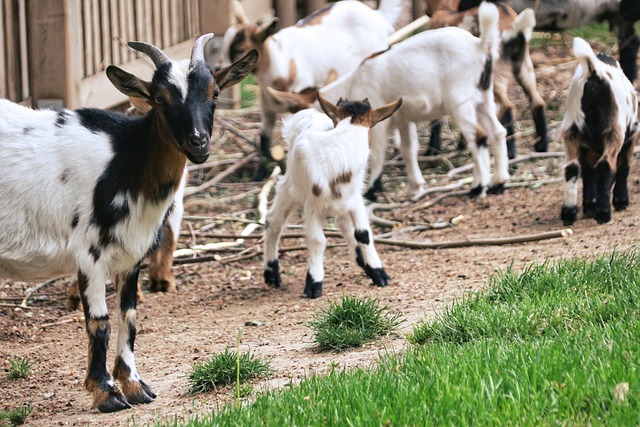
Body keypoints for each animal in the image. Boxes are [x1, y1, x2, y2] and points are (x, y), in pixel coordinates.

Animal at [0, 36, 258, 412]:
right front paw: (106, 393)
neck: (122, 160)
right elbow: (100, 323)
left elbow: (130, 318)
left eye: (215, 93)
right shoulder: (89, 252)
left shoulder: (131, 254)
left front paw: (135, 386)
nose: (198, 142)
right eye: (160, 98)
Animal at [218, 0, 402, 181]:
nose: (219, 68)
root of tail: (378, 15)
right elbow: (264, 139)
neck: (282, 63)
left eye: (241, 48)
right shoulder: (268, 107)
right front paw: (259, 175)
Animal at [262, 95, 402, 300]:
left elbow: (363, 234)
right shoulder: (313, 204)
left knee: (344, 224)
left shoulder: (354, 199)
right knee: (273, 220)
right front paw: (314, 284)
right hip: (292, 186)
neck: (340, 146)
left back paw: (364, 262)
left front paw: (379, 273)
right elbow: (317, 240)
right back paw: (271, 273)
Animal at [268, 1, 508, 200]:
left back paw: (478, 188)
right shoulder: (404, 119)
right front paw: (415, 188)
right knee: (497, 132)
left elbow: (376, 152)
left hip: (460, 102)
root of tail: (480, 45)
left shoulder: (376, 120)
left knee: (479, 137)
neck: (354, 82)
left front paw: (372, 191)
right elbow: (408, 148)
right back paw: (498, 184)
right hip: (483, 97)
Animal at [556, 38, 636, 226]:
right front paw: (621, 202)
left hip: (571, 128)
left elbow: (588, 171)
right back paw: (604, 213)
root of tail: (593, 72)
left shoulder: (585, 146)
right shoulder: (631, 136)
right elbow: (624, 165)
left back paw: (568, 213)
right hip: (614, 130)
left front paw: (589, 206)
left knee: (572, 167)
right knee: (606, 164)